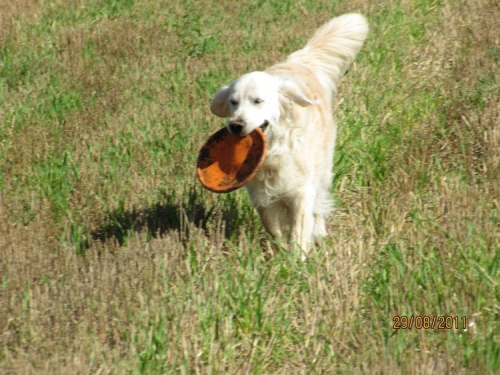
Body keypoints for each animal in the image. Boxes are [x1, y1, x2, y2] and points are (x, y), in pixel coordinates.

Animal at [209, 13, 370, 258]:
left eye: (258, 101)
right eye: (233, 102)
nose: (235, 125)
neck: (276, 148)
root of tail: (300, 61)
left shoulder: (301, 189)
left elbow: (300, 226)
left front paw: (298, 257)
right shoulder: (260, 194)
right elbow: (272, 225)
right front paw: (281, 249)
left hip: (323, 167)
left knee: (320, 202)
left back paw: (320, 232)